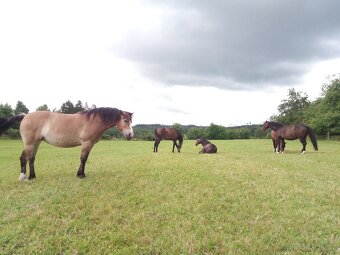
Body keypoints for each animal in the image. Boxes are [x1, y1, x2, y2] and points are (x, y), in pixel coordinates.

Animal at [0, 106, 133, 180]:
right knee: (25, 158)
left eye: (131, 121)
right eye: (125, 120)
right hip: (29, 143)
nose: (131, 135)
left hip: (35, 143)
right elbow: (83, 159)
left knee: (30, 159)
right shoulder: (87, 143)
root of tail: (25, 116)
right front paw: (81, 175)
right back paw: (24, 177)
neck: (93, 120)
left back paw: (32, 177)